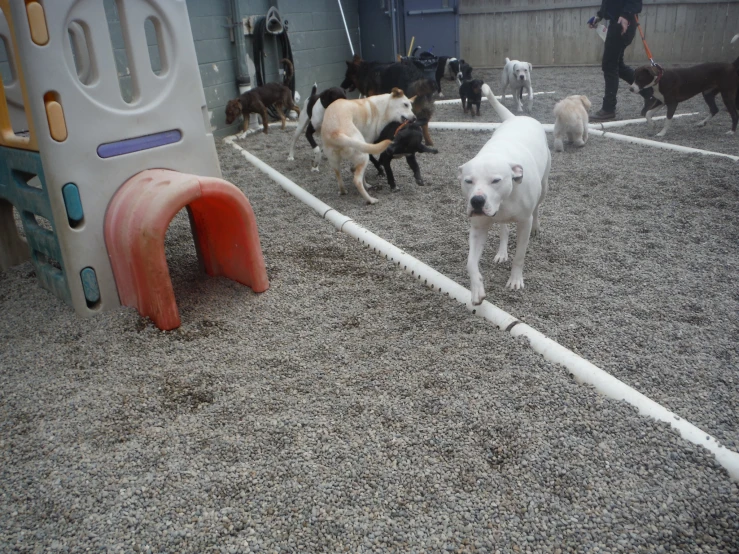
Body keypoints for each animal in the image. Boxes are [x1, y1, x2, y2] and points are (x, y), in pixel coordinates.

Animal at [460, 84, 552, 304]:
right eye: (468, 181)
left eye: (496, 180)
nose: (477, 200)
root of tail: (515, 117)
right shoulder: (478, 228)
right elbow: (470, 263)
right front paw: (477, 289)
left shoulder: (523, 222)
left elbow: (519, 255)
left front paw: (515, 280)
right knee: (504, 228)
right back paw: (502, 251)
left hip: (544, 186)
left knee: (537, 208)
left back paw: (537, 227)